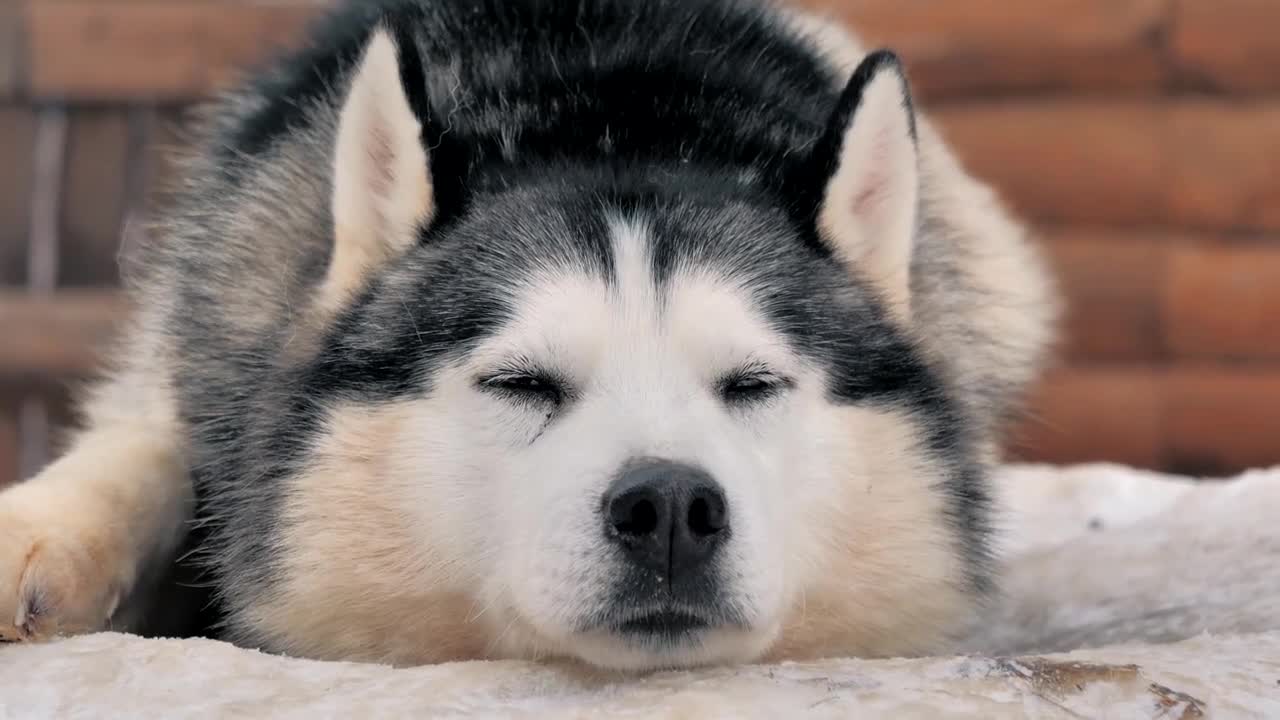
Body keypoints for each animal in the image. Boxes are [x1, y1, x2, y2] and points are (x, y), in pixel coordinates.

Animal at [0, 0, 1054, 666]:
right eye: (523, 384)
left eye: (753, 385)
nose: (671, 505)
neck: (611, 114)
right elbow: (149, 445)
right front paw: (41, 530)